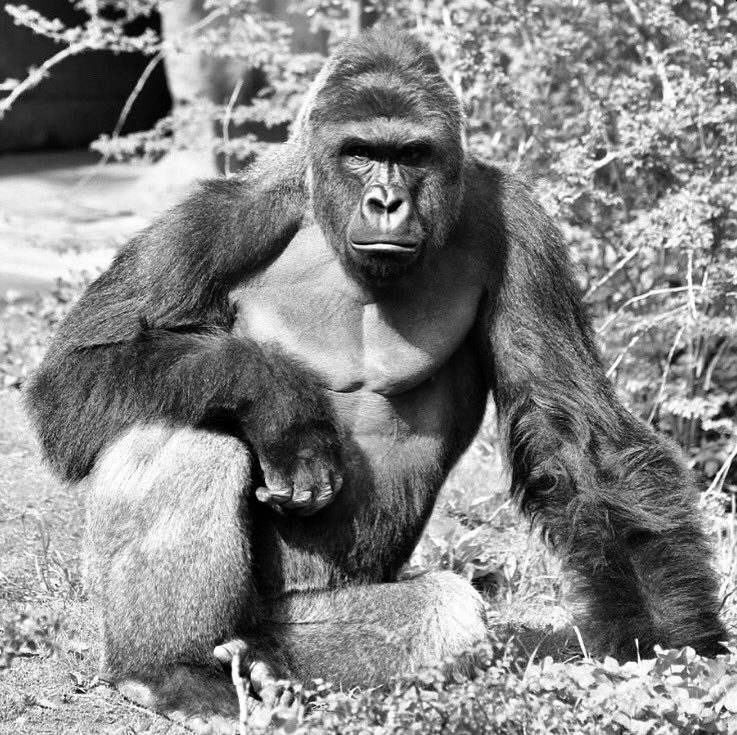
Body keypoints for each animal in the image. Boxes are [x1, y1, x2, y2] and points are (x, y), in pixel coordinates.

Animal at [25, 26, 726, 734]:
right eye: (360, 153)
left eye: (411, 154)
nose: (386, 201)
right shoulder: (215, 220)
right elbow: (73, 375)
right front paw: (278, 399)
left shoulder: (522, 230)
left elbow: (574, 433)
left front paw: (670, 647)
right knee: (185, 428)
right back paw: (167, 670)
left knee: (439, 615)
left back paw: (261, 664)